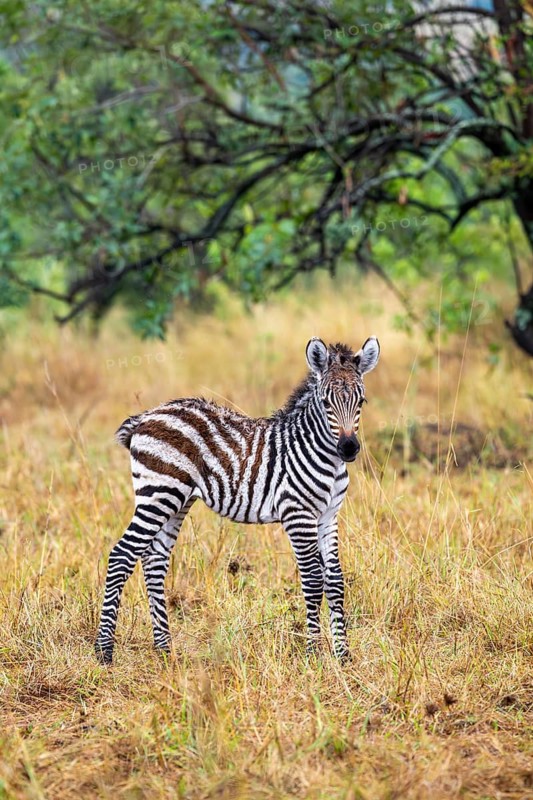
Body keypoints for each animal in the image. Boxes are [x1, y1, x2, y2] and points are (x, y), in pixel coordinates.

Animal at [95, 336, 380, 664]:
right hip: (159, 493)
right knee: (122, 555)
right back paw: (104, 651)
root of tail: (146, 416)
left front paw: (343, 655)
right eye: (325, 403)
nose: (348, 448)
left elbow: (334, 581)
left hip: (176, 501)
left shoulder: (328, 517)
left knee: (154, 560)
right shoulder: (298, 514)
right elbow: (312, 580)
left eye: (362, 402)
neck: (325, 458)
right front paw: (312, 652)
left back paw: (165, 649)